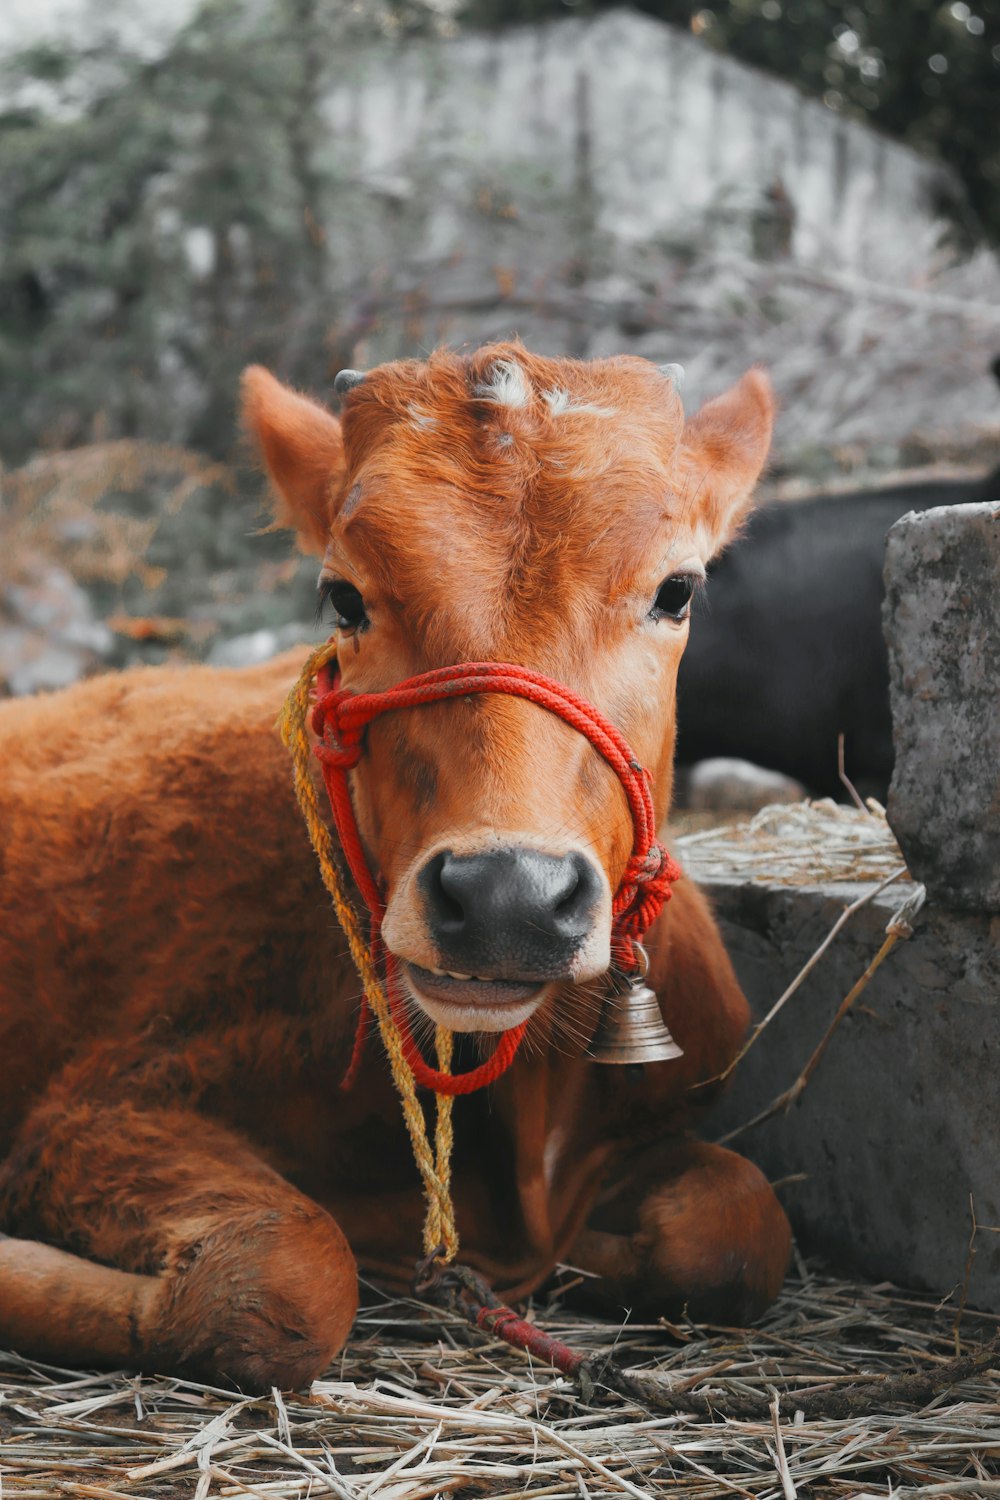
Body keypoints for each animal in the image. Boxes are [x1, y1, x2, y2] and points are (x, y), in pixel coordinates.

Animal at [0, 345, 791, 1386]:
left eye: (677, 590)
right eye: (343, 595)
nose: (507, 899)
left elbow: (737, 1228)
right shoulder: (100, 1106)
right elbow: (286, 1274)